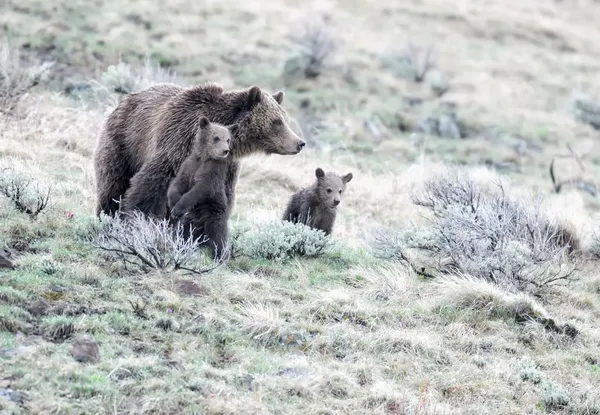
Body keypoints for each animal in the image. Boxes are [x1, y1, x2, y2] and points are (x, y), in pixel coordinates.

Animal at [94, 81, 310, 218]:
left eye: (285, 119)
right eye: (277, 121)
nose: (299, 142)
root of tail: (127, 98)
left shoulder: (226, 166)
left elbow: (217, 195)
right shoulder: (178, 145)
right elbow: (150, 184)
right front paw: (137, 217)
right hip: (125, 142)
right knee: (114, 182)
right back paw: (107, 214)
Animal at [169, 118, 237, 260]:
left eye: (228, 139)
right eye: (216, 138)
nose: (225, 150)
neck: (205, 158)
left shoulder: (213, 172)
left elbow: (201, 189)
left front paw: (178, 208)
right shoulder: (189, 166)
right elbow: (178, 183)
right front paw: (174, 204)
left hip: (213, 214)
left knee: (219, 237)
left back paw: (221, 257)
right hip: (189, 221)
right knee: (181, 233)